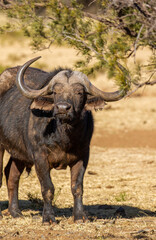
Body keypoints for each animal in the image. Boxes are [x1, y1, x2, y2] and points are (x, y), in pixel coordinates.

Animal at [0, 56, 127, 223]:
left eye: (79, 92)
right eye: (55, 92)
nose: (62, 108)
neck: (64, 137)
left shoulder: (82, 157)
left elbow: (77, 187)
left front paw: (79, 216)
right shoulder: (40, 157)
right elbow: (47, 188)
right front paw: (48, 218)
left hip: (19, 154)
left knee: (12, 174)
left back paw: (15, 212)